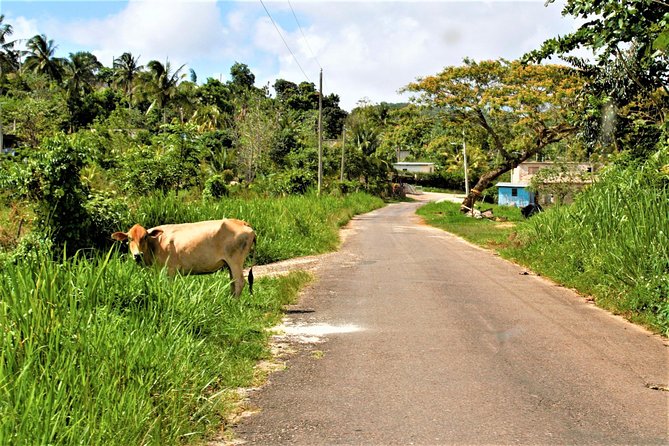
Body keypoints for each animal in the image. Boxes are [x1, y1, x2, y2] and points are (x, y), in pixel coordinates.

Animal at [111, 219, 254, 296]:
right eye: (129, 238)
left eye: (145, 237)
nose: (137, 255)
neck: (156, 244)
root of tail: (243, 223)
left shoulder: (170, 271)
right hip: (229, 264)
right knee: (233, 283)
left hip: (235, 261)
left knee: (239, 282)